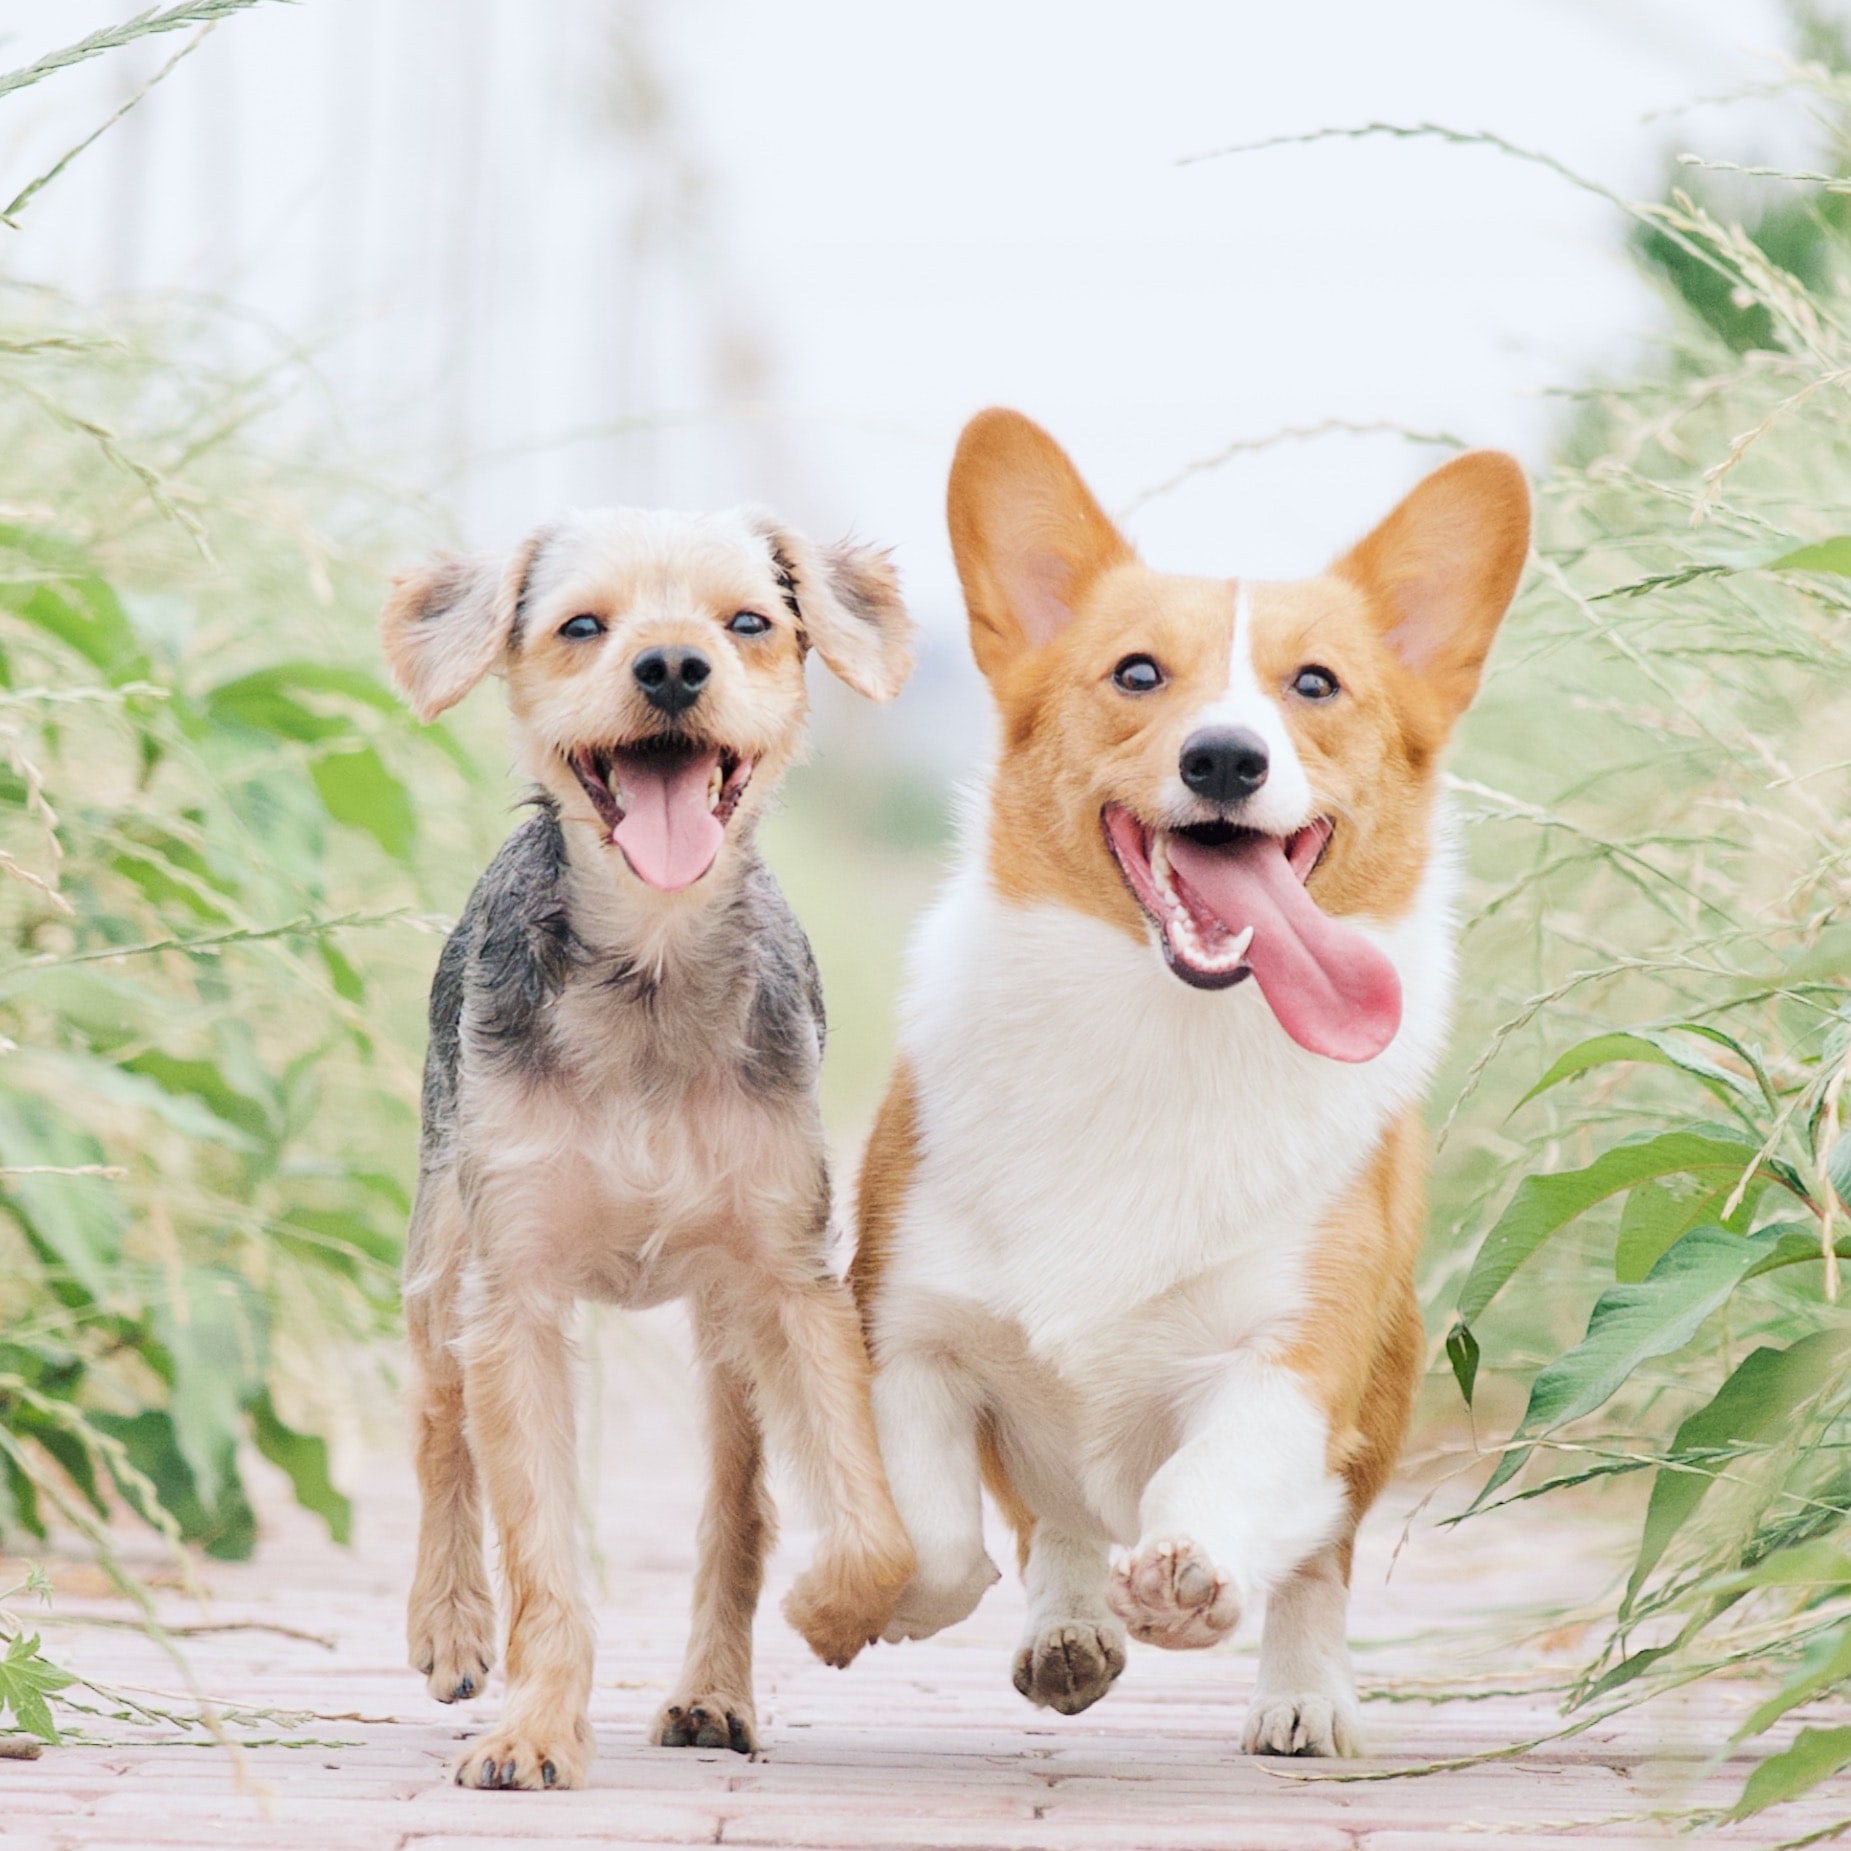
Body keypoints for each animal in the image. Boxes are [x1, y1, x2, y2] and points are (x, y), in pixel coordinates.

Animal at [381, 510, 918, 1791]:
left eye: (750, 623)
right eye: (583, 625)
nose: (672, 667)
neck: (652, 969)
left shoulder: (789, 1281)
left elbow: (867, 1522)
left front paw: (837, 1612)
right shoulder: (514, 1293)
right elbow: (538, 1548)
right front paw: (532, 1728)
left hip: (723, 1337)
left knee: (738, 1508)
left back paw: (713, 1696)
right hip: (440, 1250)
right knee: (436, 1422)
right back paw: (449, 1624)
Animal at [847, 412, 1525, 1754]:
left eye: (1315, 686)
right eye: (1136, 674)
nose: (1224, 758)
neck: (1162, 1031)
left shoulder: (1292, 1358)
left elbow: (1219, 1481)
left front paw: (1191, 1583)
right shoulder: (908, 1332)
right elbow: (941, 1535)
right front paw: (911, 1599)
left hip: (1383, 1397)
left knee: (1317, 1559)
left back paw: (1301, 1696)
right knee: (1053, 1521)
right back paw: (1067, 1627)